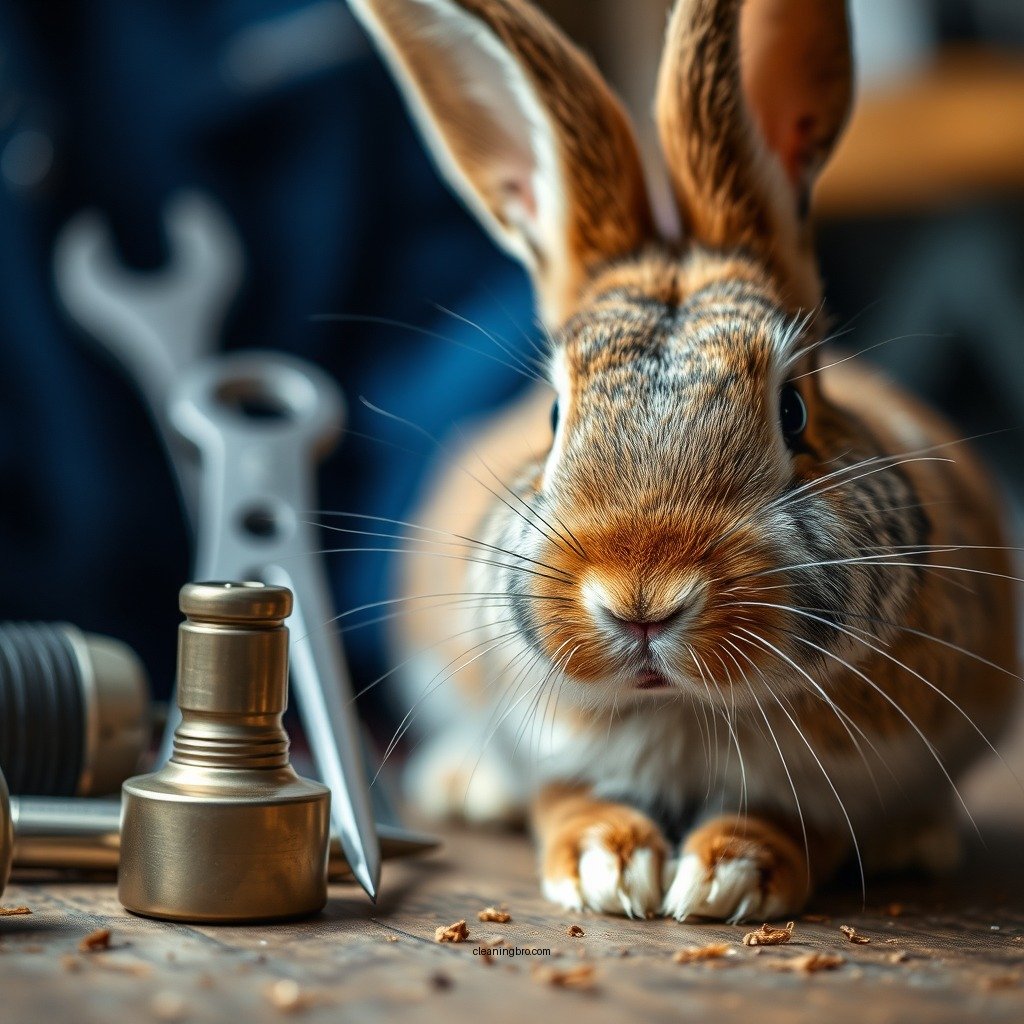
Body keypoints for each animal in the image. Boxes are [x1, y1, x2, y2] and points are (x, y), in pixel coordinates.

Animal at [349, 0, 1020, 921]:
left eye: (793, 408)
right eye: (553, 414)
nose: (642, 600)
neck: (683, 712)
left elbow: (804, 825)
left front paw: (728, 875)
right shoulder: (541, 744)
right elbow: (560, 799)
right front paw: (605, 865)